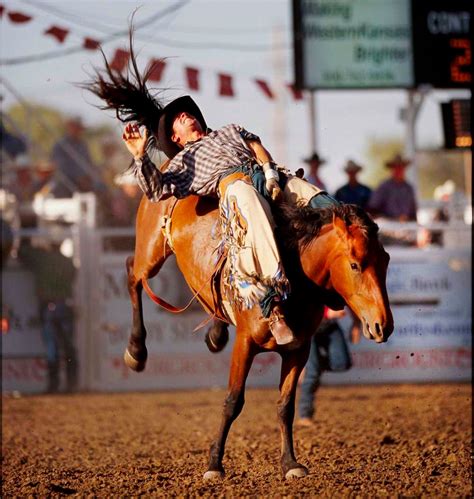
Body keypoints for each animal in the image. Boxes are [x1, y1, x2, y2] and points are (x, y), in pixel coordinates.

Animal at [122, 173, 392, 480]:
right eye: (355, 264)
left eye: (386, 261)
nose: (382, 325)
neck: (293, 277)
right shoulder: (245, 344)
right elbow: (232, 402)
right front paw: (214, 465)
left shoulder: (299, 350)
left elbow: (285, 406)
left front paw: (290, 463)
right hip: (152, 250)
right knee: (133, 274)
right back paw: (136, 350)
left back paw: (215, 334)